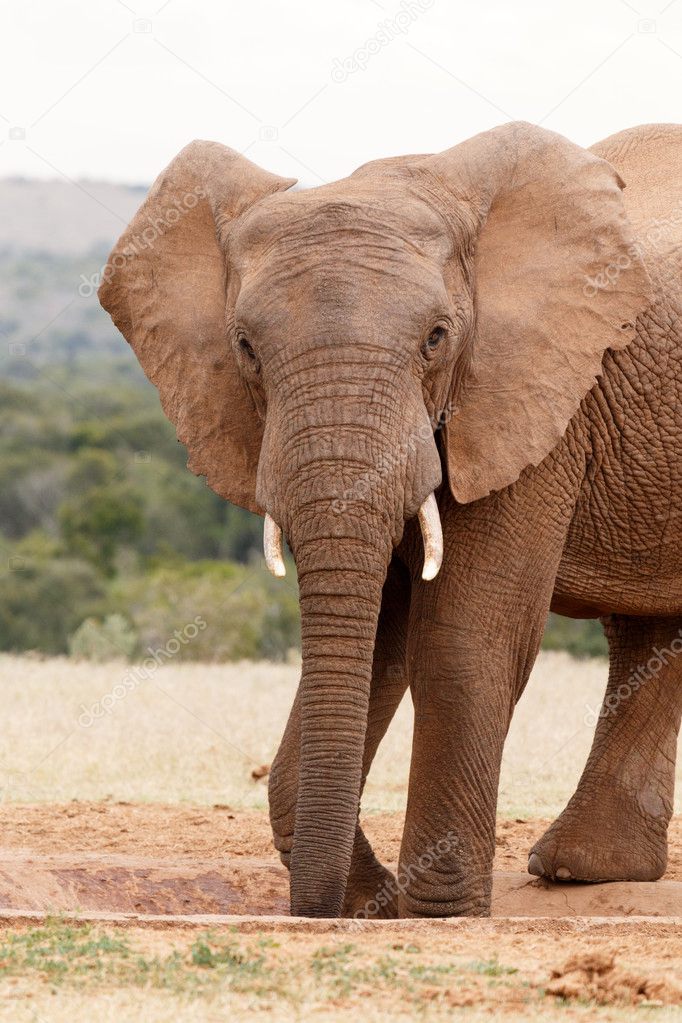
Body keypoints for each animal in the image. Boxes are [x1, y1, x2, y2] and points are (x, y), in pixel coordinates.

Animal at [100, 119, 682, 920]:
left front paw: (440, 911)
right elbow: (381, 637)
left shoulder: (535, 399)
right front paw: (370, 899)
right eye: (245, 348)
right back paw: (586, 870)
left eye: (436, 338)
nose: (318, 910)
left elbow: (462, 637)